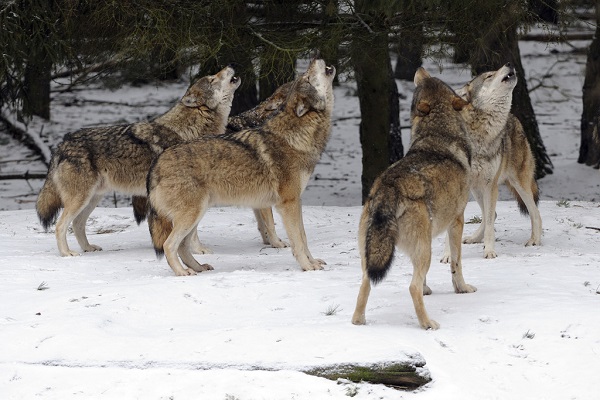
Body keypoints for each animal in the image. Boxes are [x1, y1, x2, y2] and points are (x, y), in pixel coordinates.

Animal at [35, 64, 239, 255]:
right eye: (212, 79)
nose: (230, 65)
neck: (190, 131)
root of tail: (62, 143)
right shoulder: (190, 194)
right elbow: (192, 230)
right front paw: (199, 250)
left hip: (92, 198)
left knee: (77, 223)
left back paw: (88, 248)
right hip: (80, 199)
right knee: (60, 225)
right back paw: (67, 253)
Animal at [145, 59, 332, 276]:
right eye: (307, 77)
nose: (314, 59)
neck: (296, 136)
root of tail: (157, 162)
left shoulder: (294, 202)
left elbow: (303, 237)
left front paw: (313, 262)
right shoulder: (288, 204)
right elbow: (298, 241)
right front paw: (307, 267)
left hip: (197, 214)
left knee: (183, 246)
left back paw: (199, 268)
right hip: (192, 215)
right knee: (169, 245)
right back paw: (182, 272)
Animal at [350, 68, 476, 332]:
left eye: (433, 81)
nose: (420, 69)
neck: (437, 134)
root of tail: (387, 188)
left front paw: (430, 290)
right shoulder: (457, 221)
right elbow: (456, 263)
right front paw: (462, 289)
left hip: (373, 257)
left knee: (365, 285)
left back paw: (359, 321)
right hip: (424, 250)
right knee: (411, 287)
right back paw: (428, 323)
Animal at [440, 63, 544, 260]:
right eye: (489, 76)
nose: (509, 64)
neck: (481, 134)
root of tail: (514, 118)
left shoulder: (491, 185)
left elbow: (489, 225)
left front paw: (489, 251)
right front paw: (449, 255)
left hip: (518, 184)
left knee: (534, 212)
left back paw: (534, 240)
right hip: (476, 188)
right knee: (493, 214)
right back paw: (473, 238)